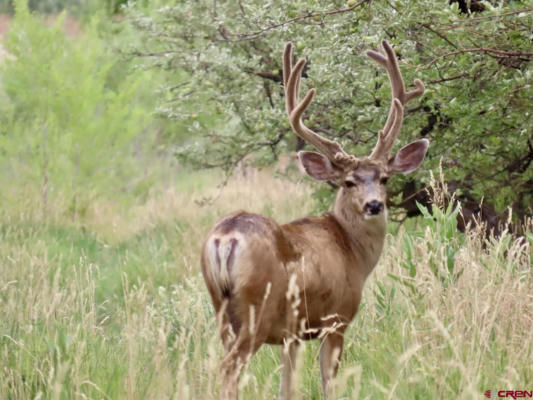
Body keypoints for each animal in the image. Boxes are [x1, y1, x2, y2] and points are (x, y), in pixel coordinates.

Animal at [200, 39, 428, 398]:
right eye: (348, 182)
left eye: (384, 178)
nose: (374, 205)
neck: (352, 252)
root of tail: (226, 236)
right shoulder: (336, 318)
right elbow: (328, 383)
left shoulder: (292, 333)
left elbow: (287, 387)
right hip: (255, 308)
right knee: (229, 368)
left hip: (221, 308)